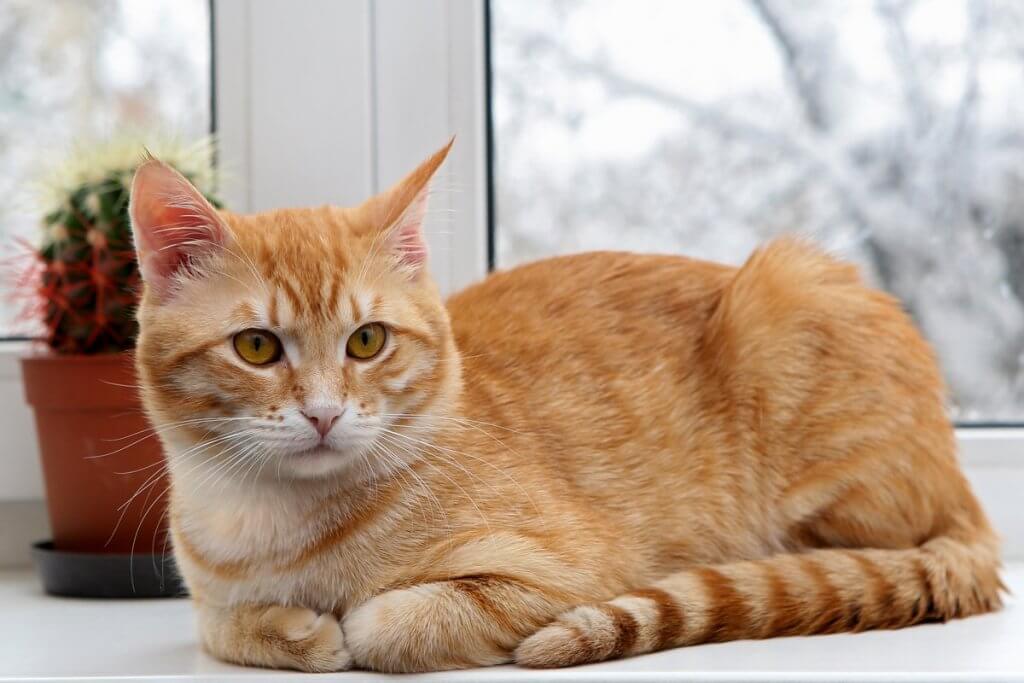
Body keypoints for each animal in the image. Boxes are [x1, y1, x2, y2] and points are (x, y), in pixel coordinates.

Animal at [128, 140, 999, 671]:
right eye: (257, 348)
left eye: (367, 341)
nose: (322, 413)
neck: (279, 528)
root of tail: (959, 475)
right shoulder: (212, 593)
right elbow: (223, 625)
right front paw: (293, 628)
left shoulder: (568, 569)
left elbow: (386, 622)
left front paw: (342, 624)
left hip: (793, 301)